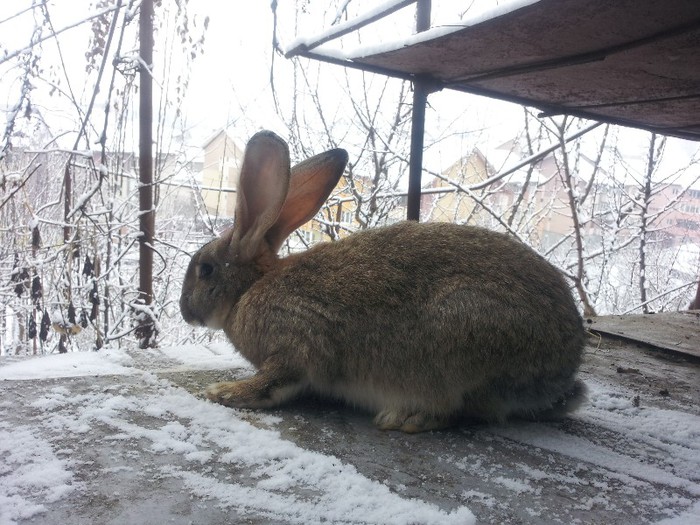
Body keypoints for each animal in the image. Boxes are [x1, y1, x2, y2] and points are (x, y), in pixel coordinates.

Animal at [180, 129, 584, 432]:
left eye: (205, 269)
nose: (186, 312)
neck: (249, 288)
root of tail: (562, 373)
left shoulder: (298, 339)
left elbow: (279, 379)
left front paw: (225, 391)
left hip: (459, 339)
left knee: (457, 408)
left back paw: (405, 417)